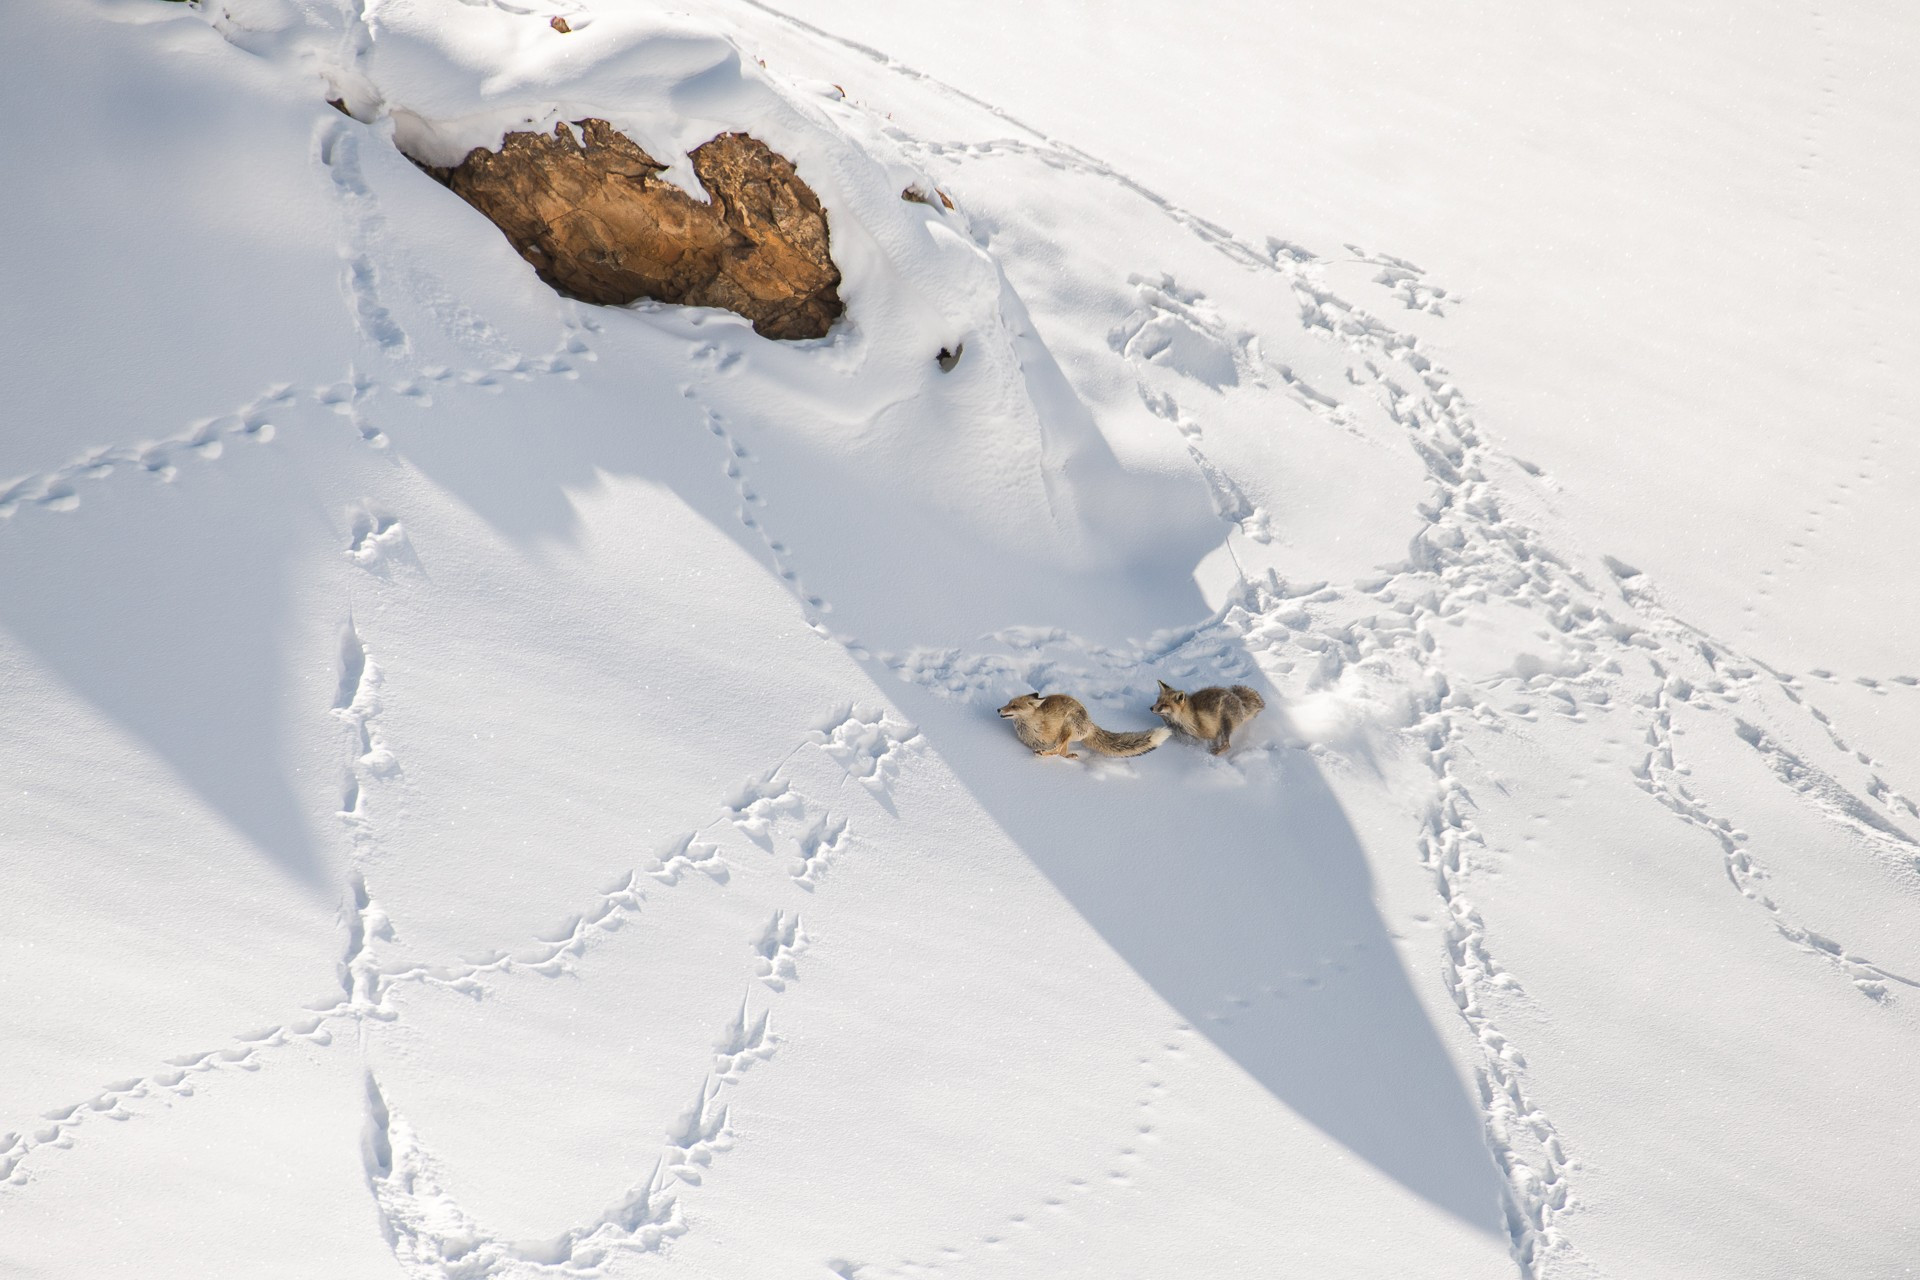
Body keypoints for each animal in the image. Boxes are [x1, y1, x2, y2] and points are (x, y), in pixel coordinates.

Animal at [998, 693, 1172, 760]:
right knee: (1062, 752)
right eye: (1008, 703)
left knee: (1059, 749)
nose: (998, 709)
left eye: (1014, 706)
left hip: (1068, 725)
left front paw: (1043, 752)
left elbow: (1055, 749)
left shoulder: (1055, 736)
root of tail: (1090, 723)